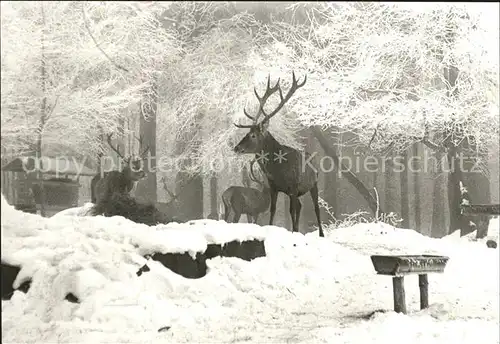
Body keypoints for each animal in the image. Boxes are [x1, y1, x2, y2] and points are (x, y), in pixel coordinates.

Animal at [233, 72, 324, 239]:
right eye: (246, 133)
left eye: (253, 135)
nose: (237, 148)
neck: (277, 169)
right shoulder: (274, 186)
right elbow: (274, 209)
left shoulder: (293, 185)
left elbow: (291, 210)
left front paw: (294, 232)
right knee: (300, 206)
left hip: (313, 183)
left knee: (315, 208)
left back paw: (321, 234)